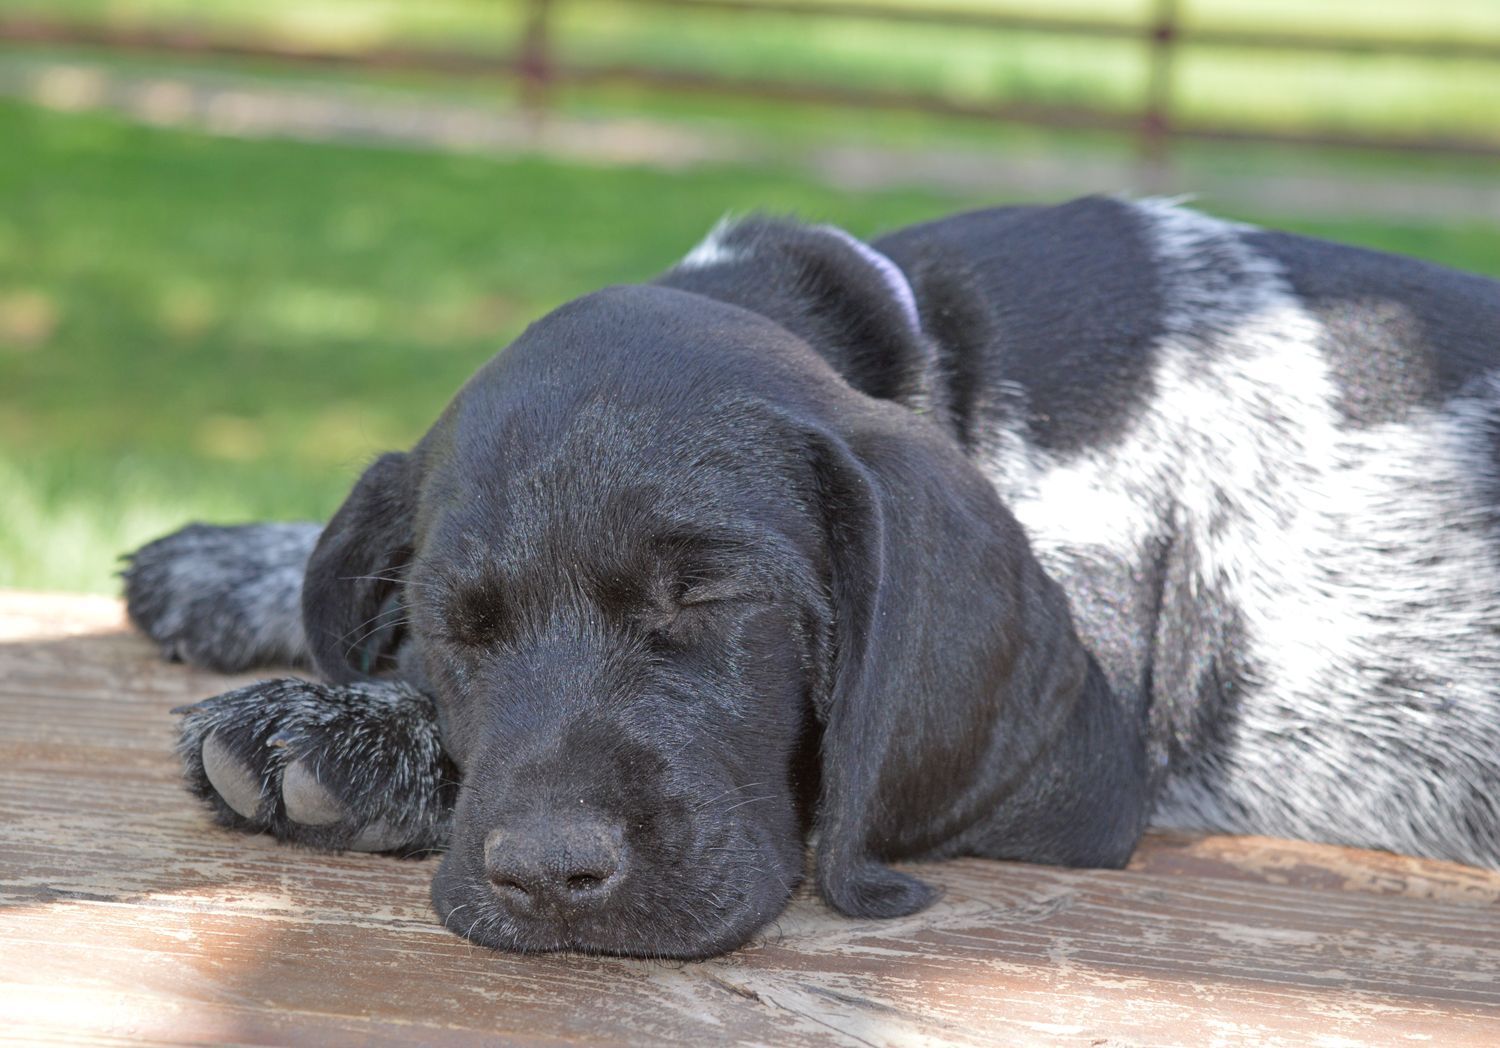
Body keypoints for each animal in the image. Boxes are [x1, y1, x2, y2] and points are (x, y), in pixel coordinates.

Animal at [123, 196, 1500, 959]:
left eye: (710, 601)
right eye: (453, 625)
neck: (936, 352)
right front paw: (242, 568)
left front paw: (348, 736)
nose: (552, 874)